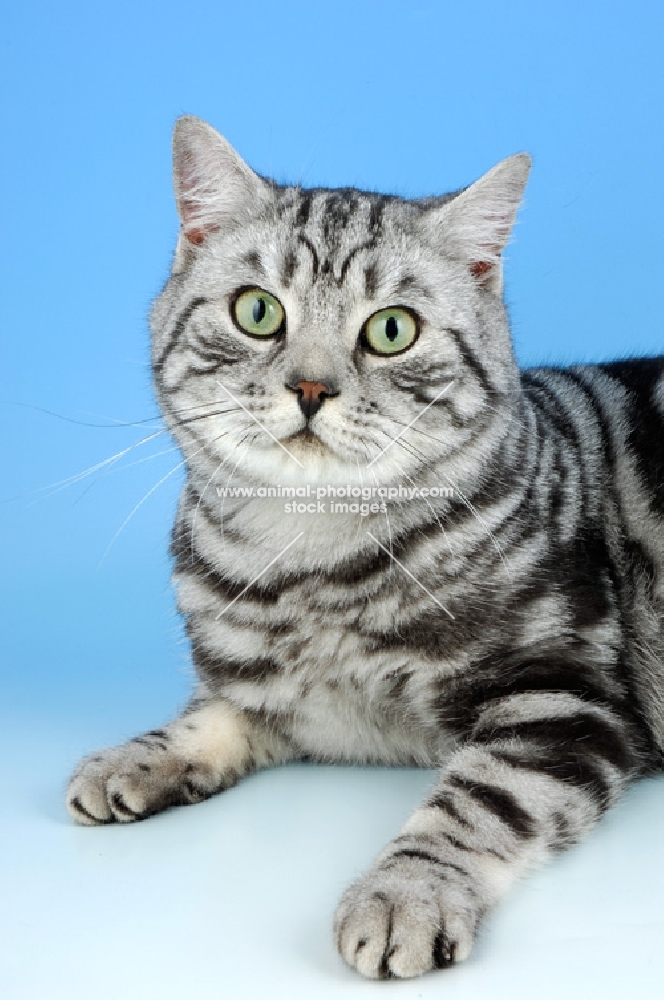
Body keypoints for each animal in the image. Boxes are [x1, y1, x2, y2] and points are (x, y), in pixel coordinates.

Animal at [66, 115, 664, 976]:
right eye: (258, 312)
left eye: (391, 330)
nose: (312, 388)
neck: (309, 567)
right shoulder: (272, 690)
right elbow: (211, 713)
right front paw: (136, 756)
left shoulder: (565, 695)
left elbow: (474, 802)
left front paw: (404, 894)